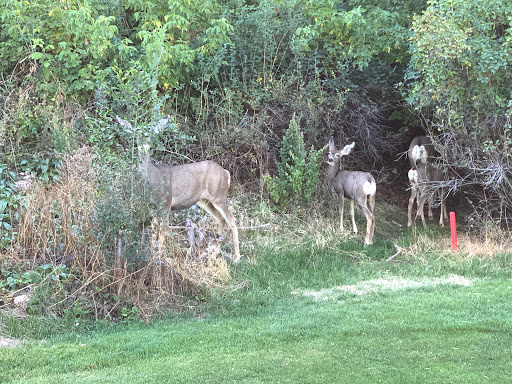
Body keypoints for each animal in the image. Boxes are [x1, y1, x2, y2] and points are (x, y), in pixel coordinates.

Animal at [116, 115, 240, 262]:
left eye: (150, 133)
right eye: (136, 133)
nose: (144, 147)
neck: (153, 178)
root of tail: (226, 173)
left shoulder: (166, 202)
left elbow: (163, 230)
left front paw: (161, 258)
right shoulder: (153, 206)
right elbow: (154, 230)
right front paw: (152, 255)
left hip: (219, 195)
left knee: (232, 220)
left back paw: (236, 257)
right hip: (205, 201)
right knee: (221, 219)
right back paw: (214, 253)